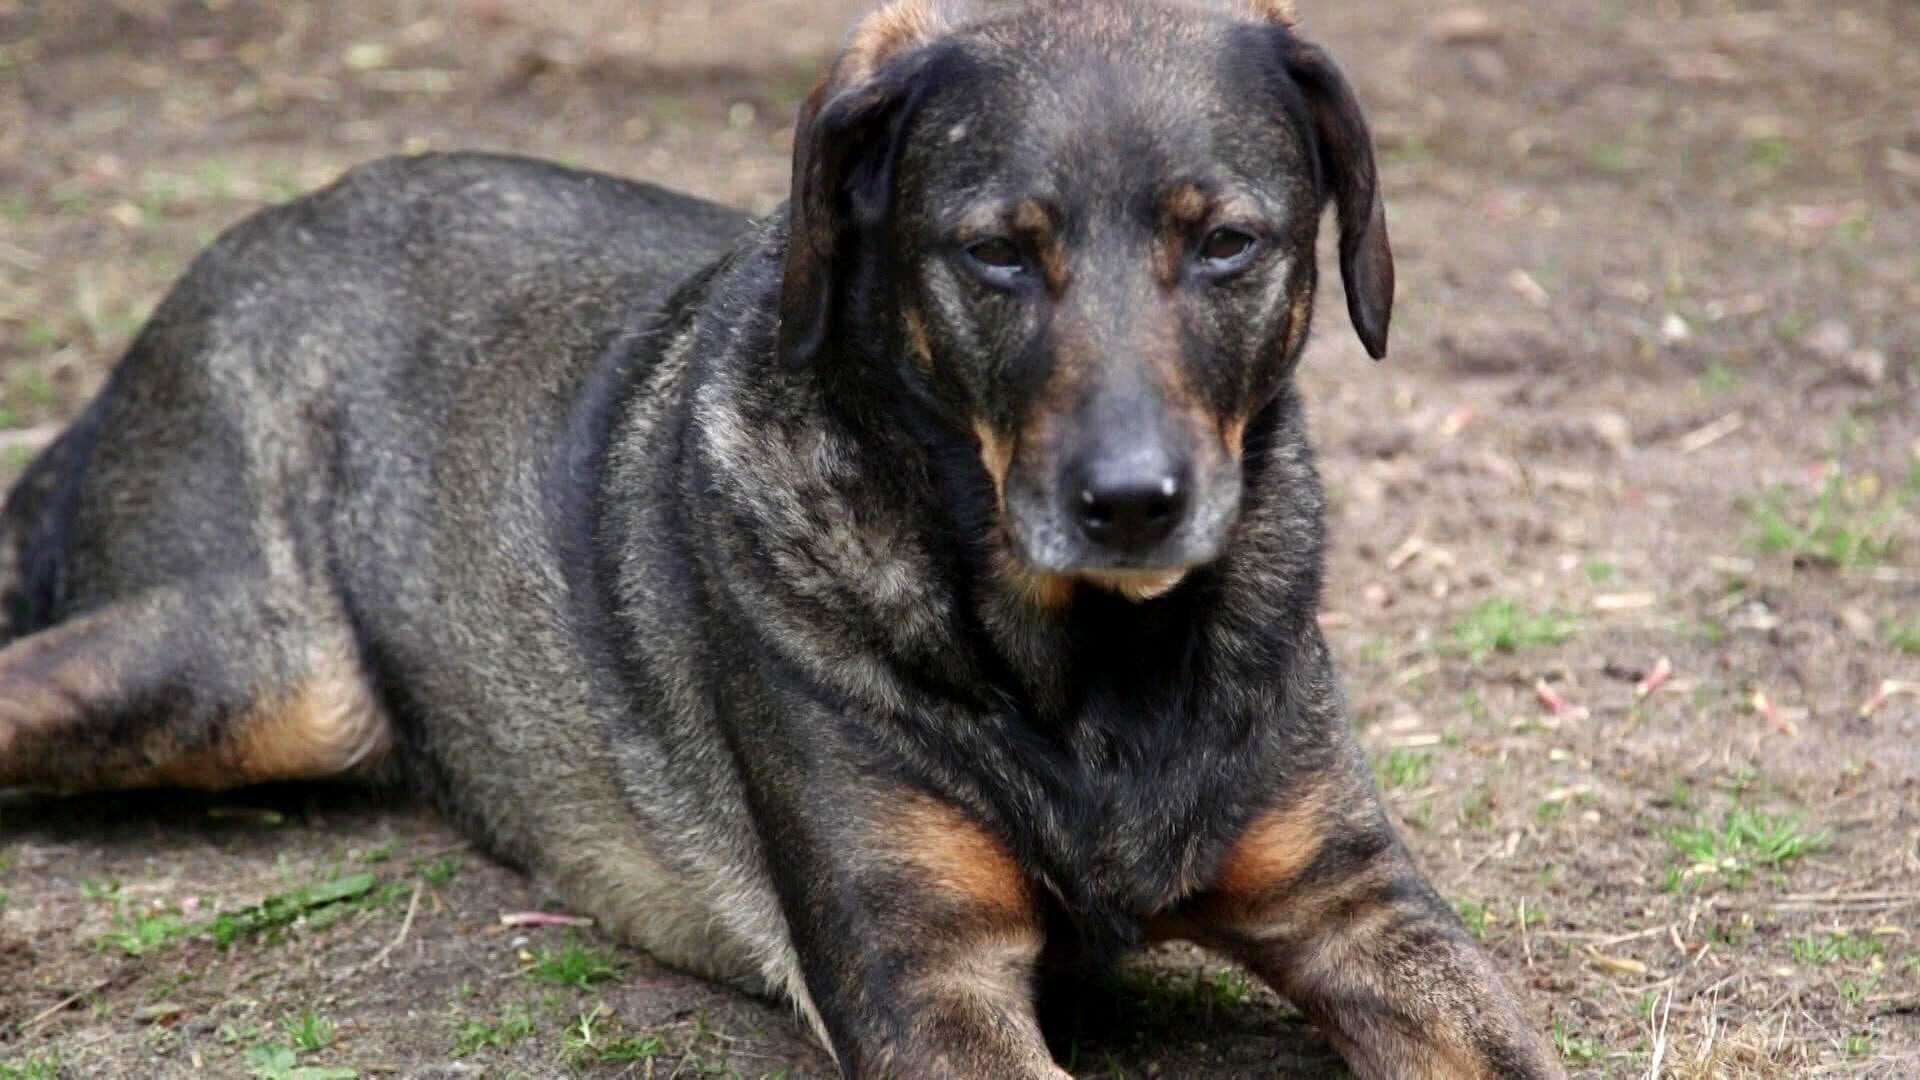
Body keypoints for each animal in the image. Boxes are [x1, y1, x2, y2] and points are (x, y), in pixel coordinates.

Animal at [0, 0, 1559, 1068]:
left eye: (1227, 241)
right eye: (997, 253)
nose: (1130, 503)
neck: (1094, 679)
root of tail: (224, 255)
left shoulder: (1361, 906)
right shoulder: (919, 970)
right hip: (265, 672)